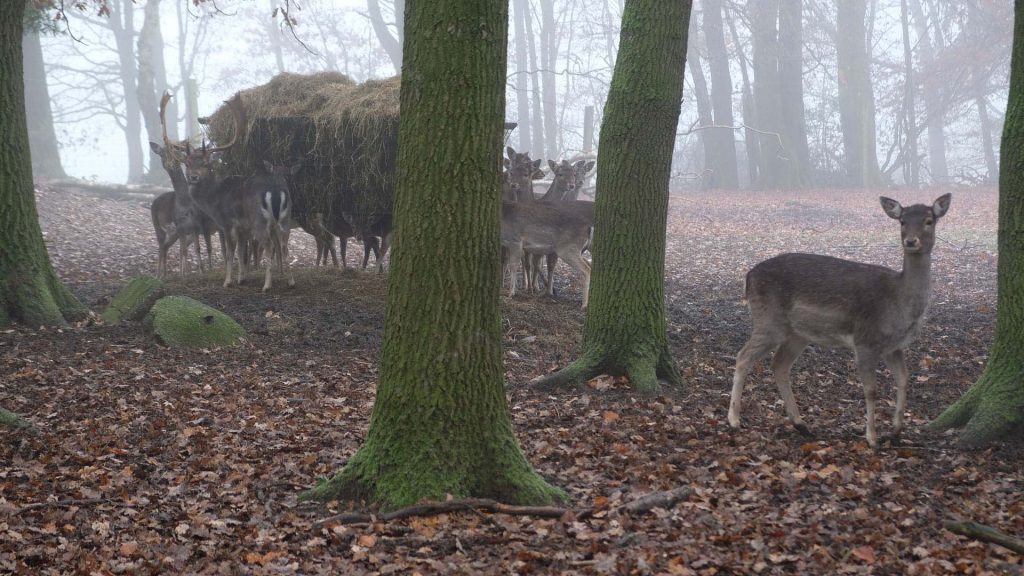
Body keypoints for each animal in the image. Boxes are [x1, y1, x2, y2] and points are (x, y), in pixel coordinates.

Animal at [729, 193, 950, 448]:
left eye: (929, 220)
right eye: (902, 221)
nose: (911, 241)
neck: (900, 304)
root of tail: (748, 277)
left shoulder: (894, 346)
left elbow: (904, 379)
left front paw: (895, 432)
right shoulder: (866, 340)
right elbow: (871, 389)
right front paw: (872, 438)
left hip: (798, 333)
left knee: (779, 364)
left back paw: (802, 425)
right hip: (769, 320)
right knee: (743, 356)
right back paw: (734, 420)